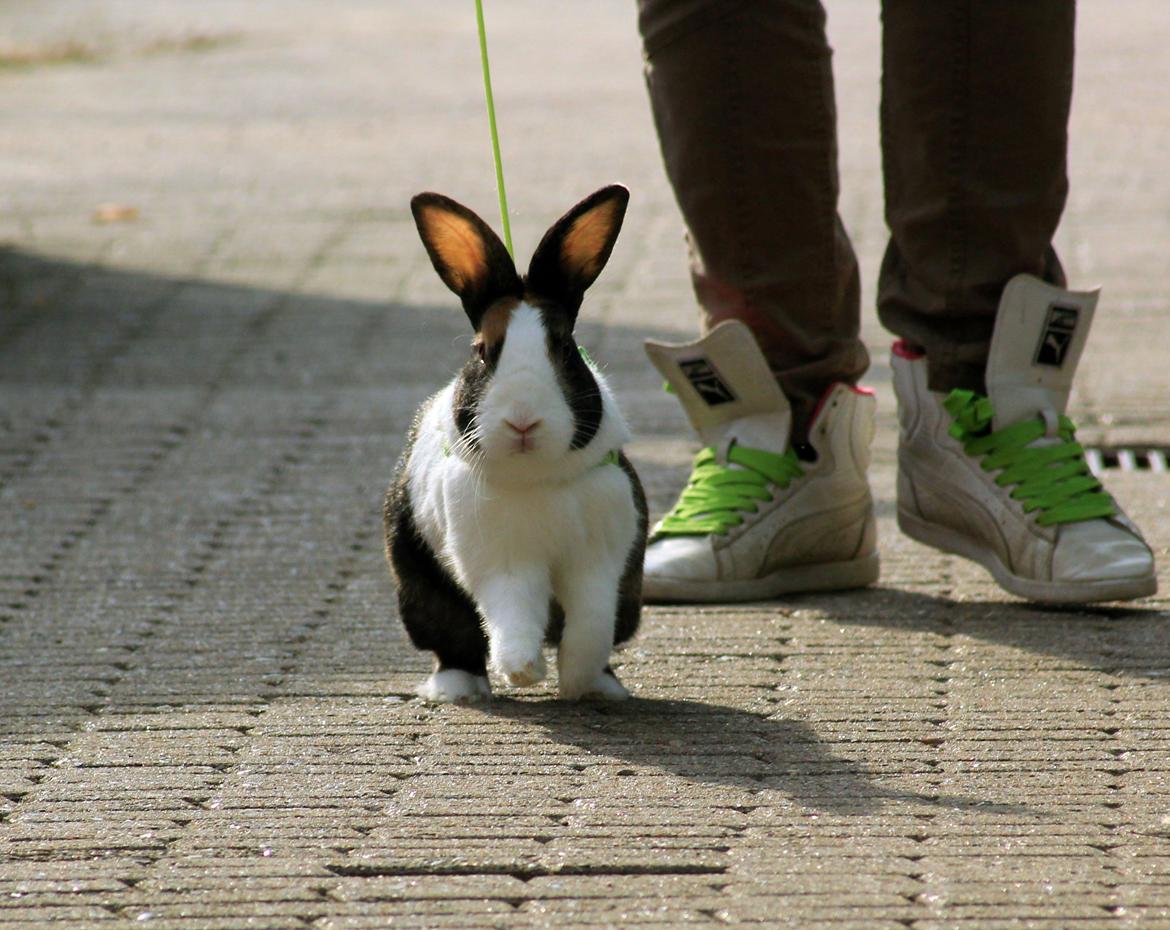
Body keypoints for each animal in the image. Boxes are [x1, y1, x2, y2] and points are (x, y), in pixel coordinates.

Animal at [383, 183, 645, 706]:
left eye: (564, 348)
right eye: (482, 351)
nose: (523, 420)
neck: (536, 478)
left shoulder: (599, 561)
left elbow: (591, 624)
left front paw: (578, 680)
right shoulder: (499, 559)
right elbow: (512, 611)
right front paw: (522, 669)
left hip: (631, 599)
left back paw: (606, 687)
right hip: (420, 591)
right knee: (455, 642)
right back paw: (457, 689)